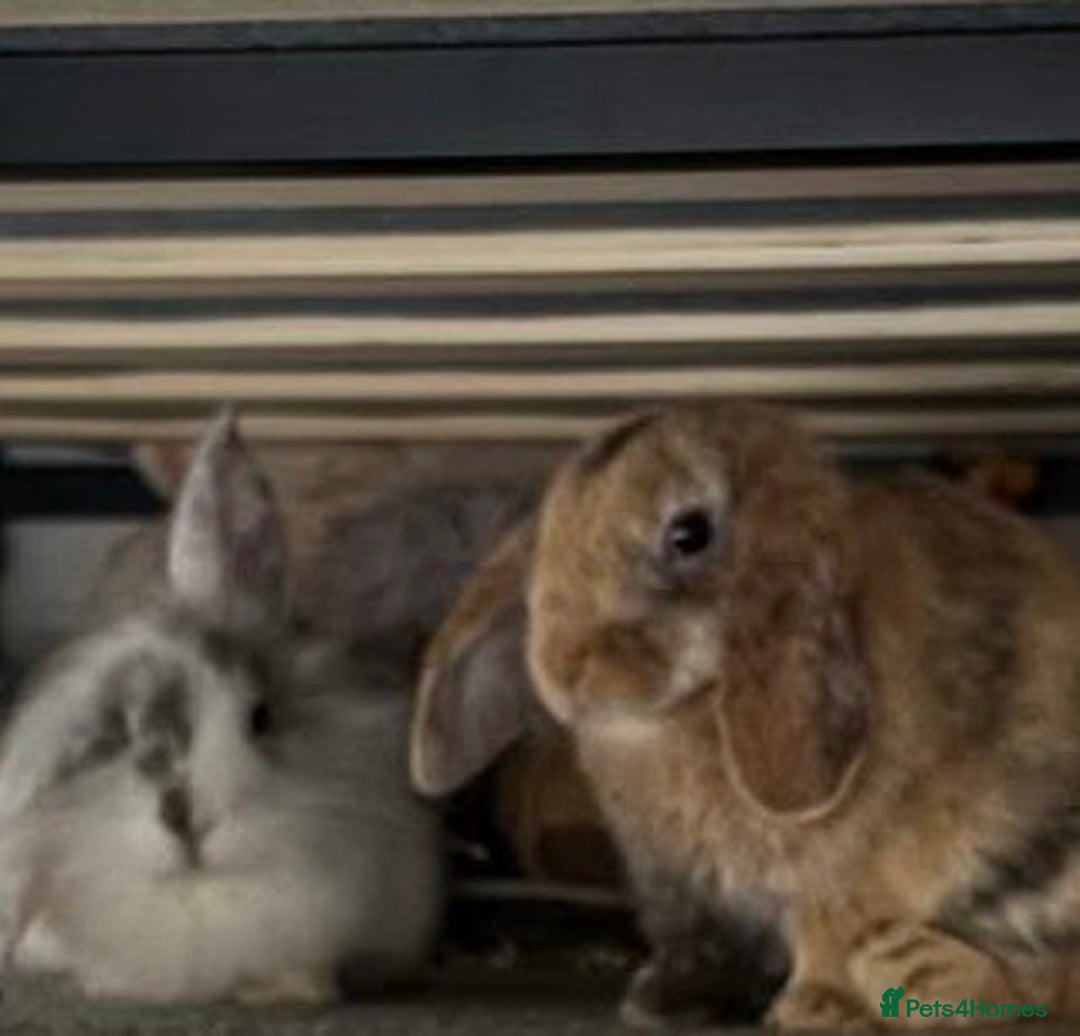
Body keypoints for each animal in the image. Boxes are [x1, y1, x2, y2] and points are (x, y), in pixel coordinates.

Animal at [410, 398, 1080, 1029]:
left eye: (689, 534)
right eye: (551, 532)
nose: (564, 667)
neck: (684, 712)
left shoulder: (855, 866)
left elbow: (830, 920)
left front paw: (816, 1007)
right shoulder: (679, 885)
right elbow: (696, 942)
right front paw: (663, 1000)